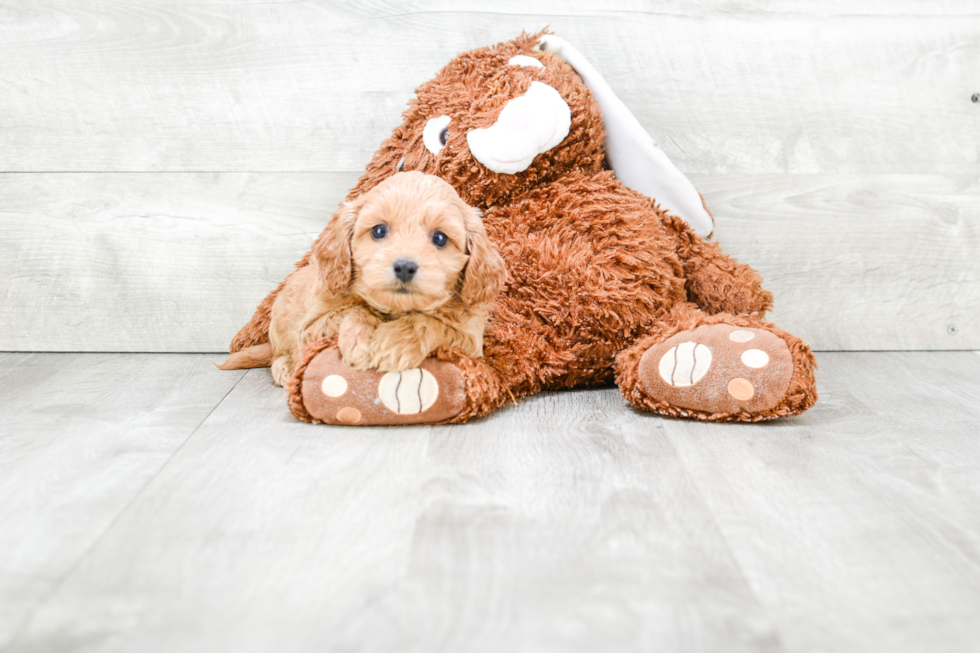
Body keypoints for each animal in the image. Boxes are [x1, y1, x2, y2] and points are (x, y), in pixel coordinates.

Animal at [219, 171, 510, 384]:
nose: (404, 266)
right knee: (278, 354)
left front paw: (394, 343)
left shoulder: (469, 340)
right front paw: (361, 341)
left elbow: (428, 322)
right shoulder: (310, 327)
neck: (394, 310)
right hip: (279, 321)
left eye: (440, 238)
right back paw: (285, 368)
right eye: (379, 231)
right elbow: (354, 309)